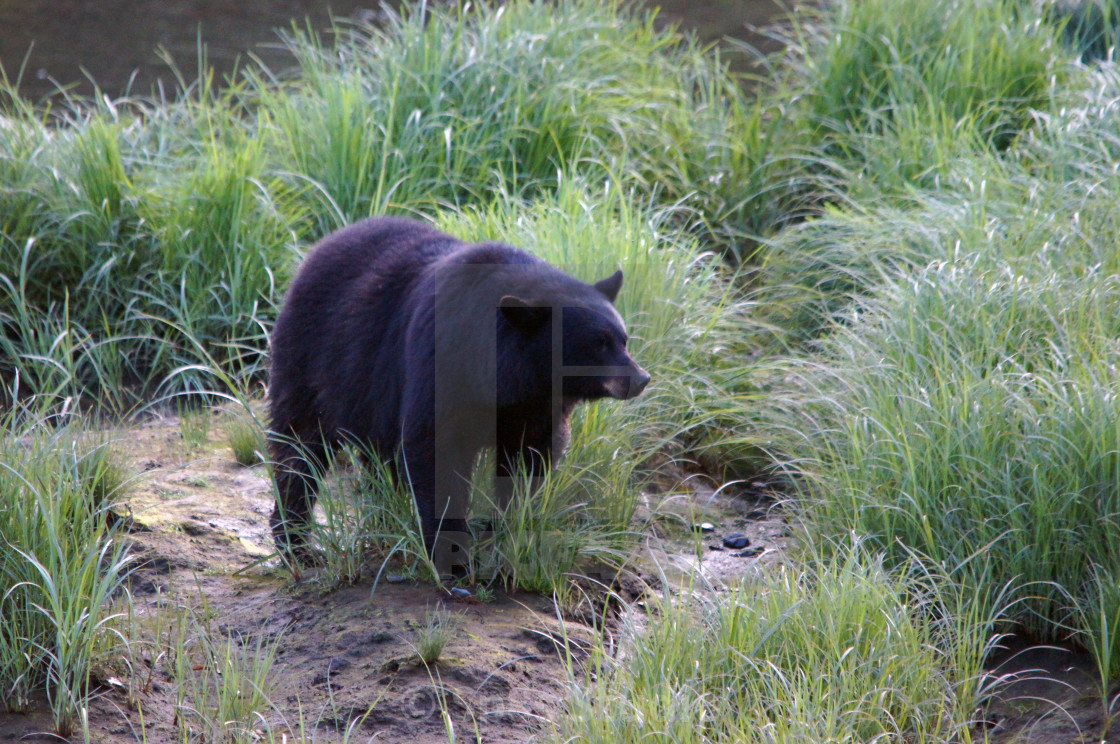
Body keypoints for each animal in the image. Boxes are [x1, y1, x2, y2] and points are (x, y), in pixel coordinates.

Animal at [268, 218, 649, 566]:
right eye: (598, 343)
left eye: (623, 339)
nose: (640, 378)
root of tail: (317, 250)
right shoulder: (443, 363)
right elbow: (435, 450)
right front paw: (452, 554)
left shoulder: (537, 405)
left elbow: (530, 460)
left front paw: (509, 531)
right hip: (314, 359)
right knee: (299, 447)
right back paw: (296, 543)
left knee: (375, 457)